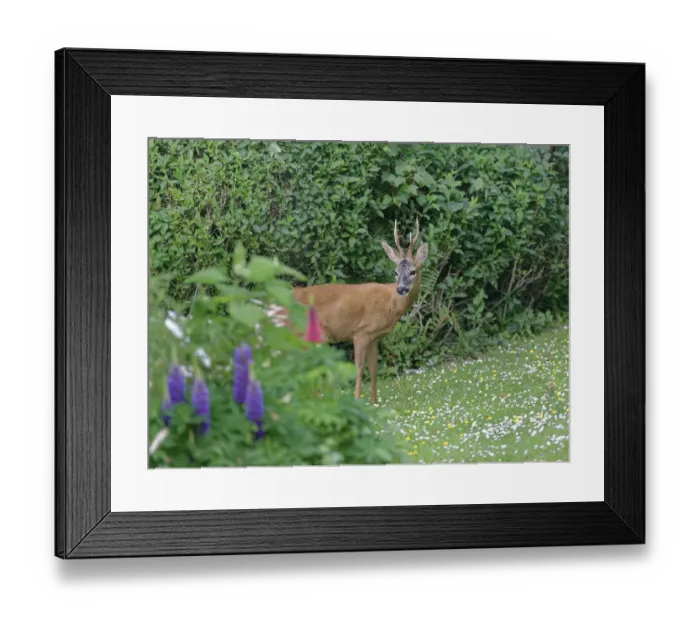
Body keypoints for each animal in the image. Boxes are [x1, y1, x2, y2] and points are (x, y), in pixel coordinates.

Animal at [268, 220, 428, 405]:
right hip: (299, 334)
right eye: (396, 272)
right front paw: (358, 400)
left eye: (412, 271)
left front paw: (374, 402)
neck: (390, 301)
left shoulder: (374, 337)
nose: (401, 289)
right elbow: (359, 368)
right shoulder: (361, 332)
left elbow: (374, 369)